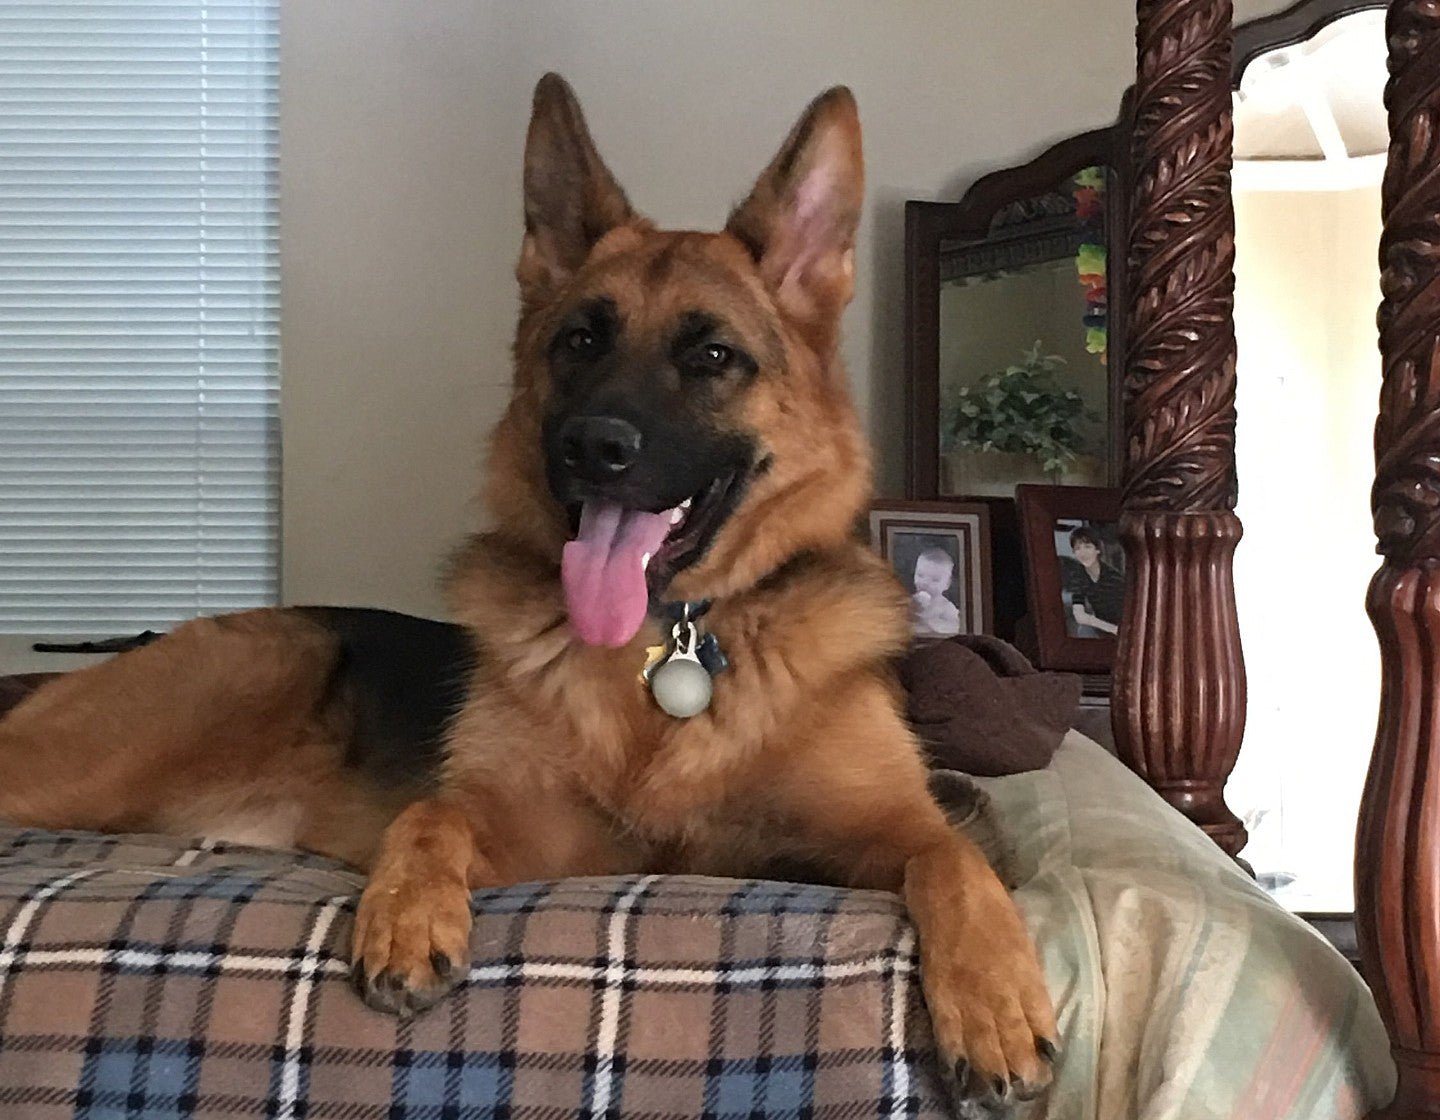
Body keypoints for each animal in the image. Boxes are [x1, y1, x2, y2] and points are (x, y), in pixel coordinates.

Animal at [0, 74, 1057, 1112]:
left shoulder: (879, 832)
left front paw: (996, 1001)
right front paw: (403, 912)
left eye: (714, 357)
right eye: (579, 341)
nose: (592, 446)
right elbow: (433, 814)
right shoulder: (532, 840)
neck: (667, 645)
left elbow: (956, 856)